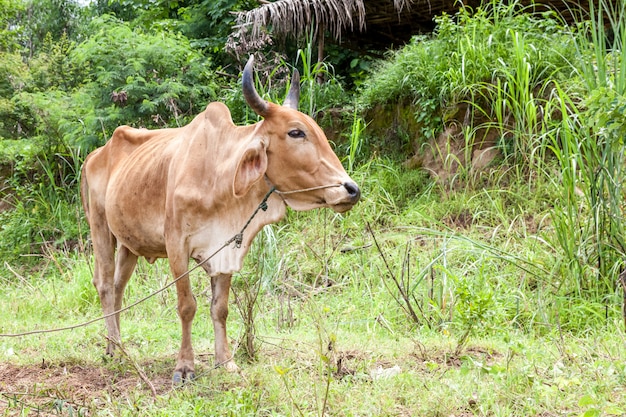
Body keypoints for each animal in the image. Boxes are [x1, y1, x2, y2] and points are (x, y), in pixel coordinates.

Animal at [80, 56, 358, 384]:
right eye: (296, 132)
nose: (351, 189)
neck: (217, 175)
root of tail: (96, 154)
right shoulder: (176, 245)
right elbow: (187, 306)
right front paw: (184, 367)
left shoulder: (228, 247)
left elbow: (220, 308)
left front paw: (225, 361)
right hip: (100, 228)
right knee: (104, 285)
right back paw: (115, 349)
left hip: (129, 243)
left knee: (118, 287)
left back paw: (118, 346)